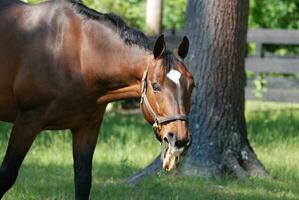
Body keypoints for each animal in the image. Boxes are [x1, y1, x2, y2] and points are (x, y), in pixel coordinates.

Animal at [0, 0, 195, 198]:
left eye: (192, 85)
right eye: (155, 86)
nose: (179, 139)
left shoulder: (87, 127)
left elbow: (83, 180)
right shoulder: (27, 122)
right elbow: (6, 175)